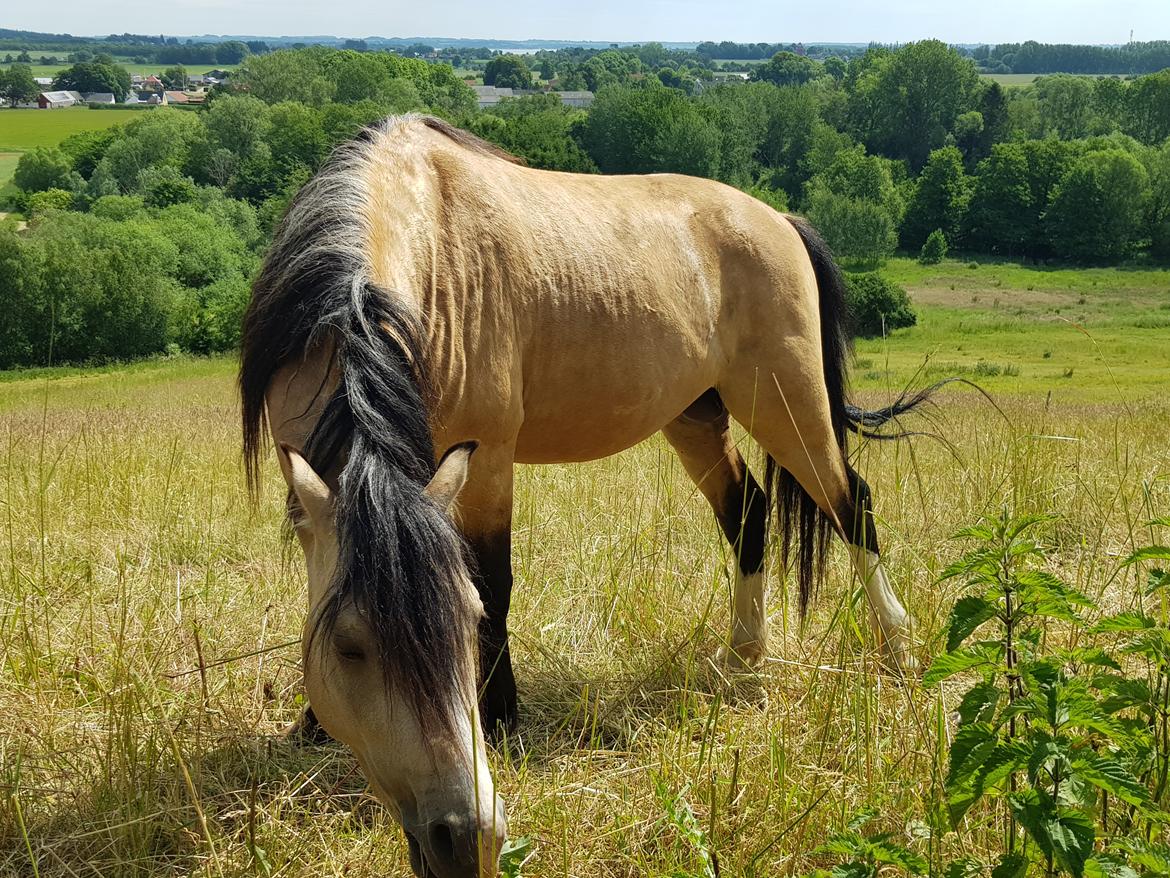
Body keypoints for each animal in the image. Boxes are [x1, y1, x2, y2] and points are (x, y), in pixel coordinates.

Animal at [240, 114, 931, 878]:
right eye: (350, 647)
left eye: (463, 622)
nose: (468, 839)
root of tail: (778, 219)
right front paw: (312, 723)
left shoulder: (488, 462)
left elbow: (497, 581)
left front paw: (504, 717)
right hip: (697, 417)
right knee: (748, 513)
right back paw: (744, 660)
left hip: (787, 404)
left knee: (852, 505)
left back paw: (898, 651)